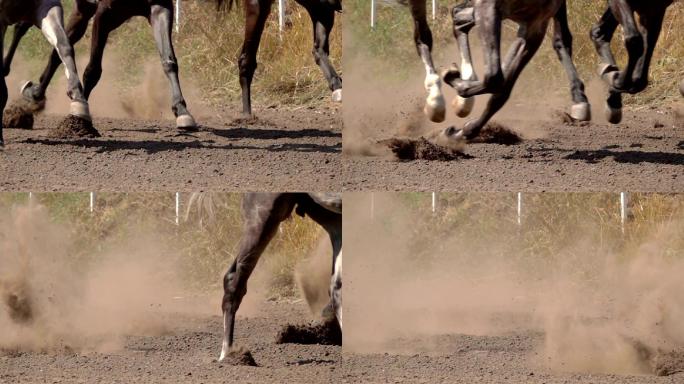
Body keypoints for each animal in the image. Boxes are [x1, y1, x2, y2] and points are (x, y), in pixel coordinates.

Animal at [9, 0, 196, 130]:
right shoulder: (105, 14)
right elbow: (92, 71)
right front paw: (80, 118)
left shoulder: (160, 8)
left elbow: (169, 61)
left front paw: (182, 110)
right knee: (22, 27)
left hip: (82, 10)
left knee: (58, 50)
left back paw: (36, 95)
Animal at [408, 0, 592, 141]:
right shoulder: (489, 7)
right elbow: (494, 77)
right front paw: (452, 77)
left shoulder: (536, 23)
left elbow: (502, 90)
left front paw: (463, 131)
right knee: (423, 35)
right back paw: (435, 101)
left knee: (458, 16)